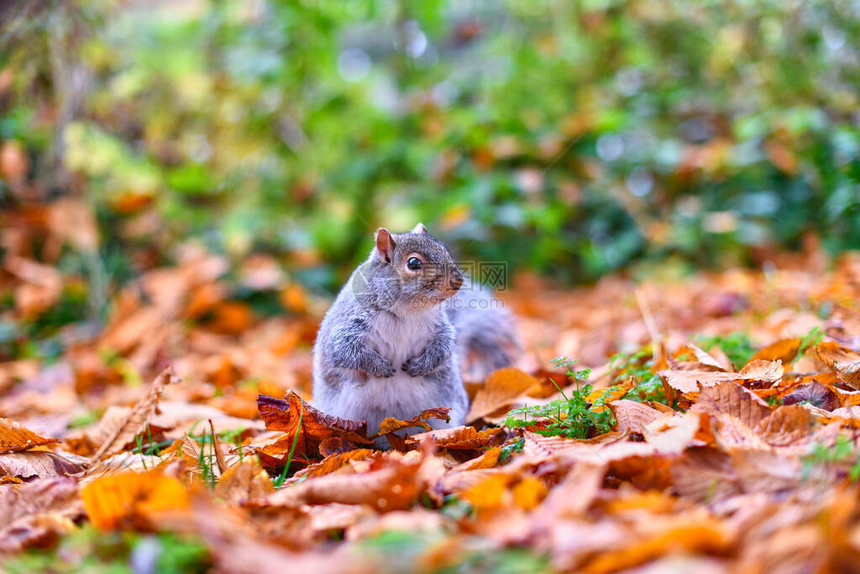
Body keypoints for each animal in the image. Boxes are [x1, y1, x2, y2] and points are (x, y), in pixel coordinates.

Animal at [314, 224, 520, 436]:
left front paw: (421, 365)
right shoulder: (347, 326)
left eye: (445, 251)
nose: (457, 282)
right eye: (413, 263)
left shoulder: (440, 327)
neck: (407, 310)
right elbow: (344, 351)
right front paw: (379, 366)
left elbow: (444, 347)